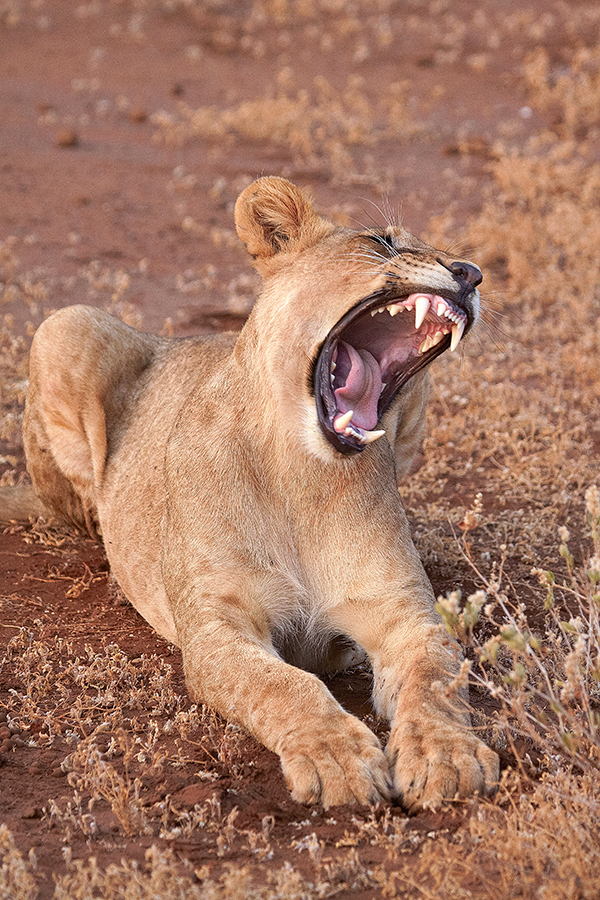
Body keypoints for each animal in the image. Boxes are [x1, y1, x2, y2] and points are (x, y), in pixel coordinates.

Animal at [4, 179, 500, 812]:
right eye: (380, 241)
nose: (471, 273)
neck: (302, 476)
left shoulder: (404, 613)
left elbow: (438, 680)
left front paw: (447, 756)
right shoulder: (217, 626)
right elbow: (283, 684)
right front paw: (337, 758)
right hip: (67, 323)